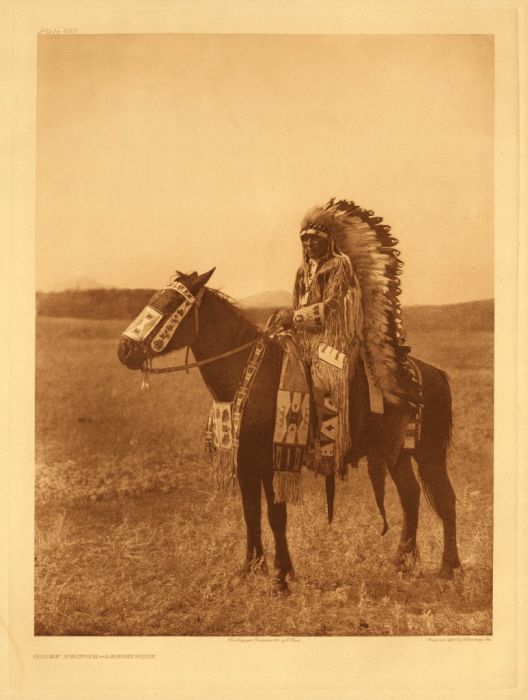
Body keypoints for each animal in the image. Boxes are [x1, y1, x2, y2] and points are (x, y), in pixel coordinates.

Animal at [117, 268, 460, 592]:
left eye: (171, 304)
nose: (124, 350)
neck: (249, 375)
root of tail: (434, 373)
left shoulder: (273, 463)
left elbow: (275, 516)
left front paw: (281, 576)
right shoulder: (246, 462)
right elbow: (251, 513)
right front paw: (251, 568)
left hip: (429, 453)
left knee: (445, 498)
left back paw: (449, 568)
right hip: (397, 453)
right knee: (411, 495)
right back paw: (402, 561)